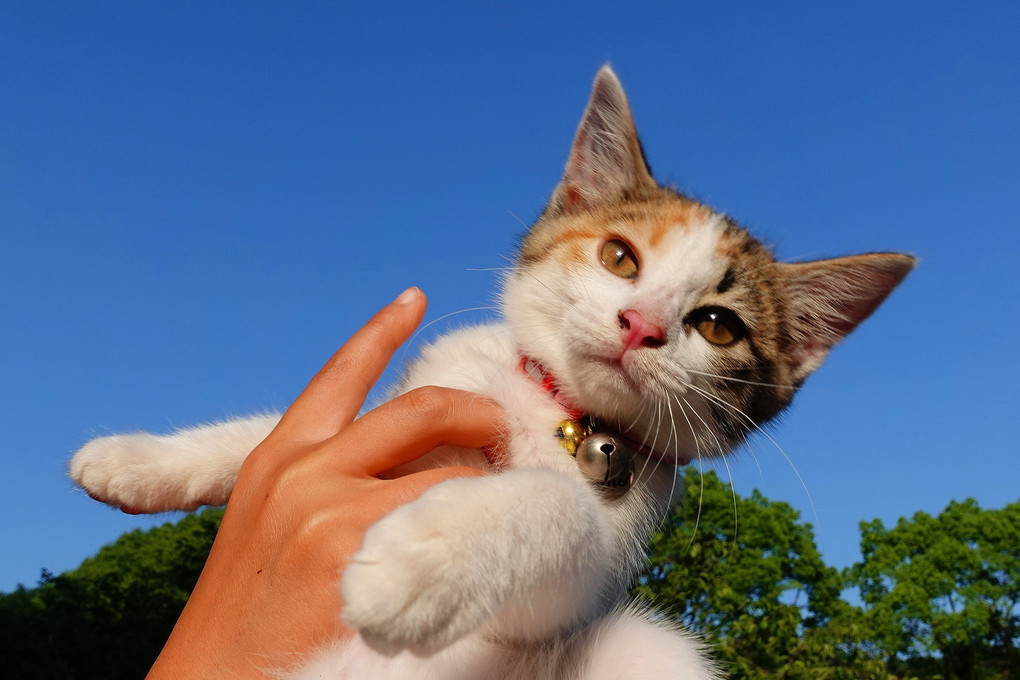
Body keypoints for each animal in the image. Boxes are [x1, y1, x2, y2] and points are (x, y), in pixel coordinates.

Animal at [71, 65, 918, 680]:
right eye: (620, 257)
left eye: (717, 325)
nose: (641, 326)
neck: (550, 406)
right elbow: (283, 436)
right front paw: (135, 460)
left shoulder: (600, 561)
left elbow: (559, 508)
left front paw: (420, 557)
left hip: (651, 648)